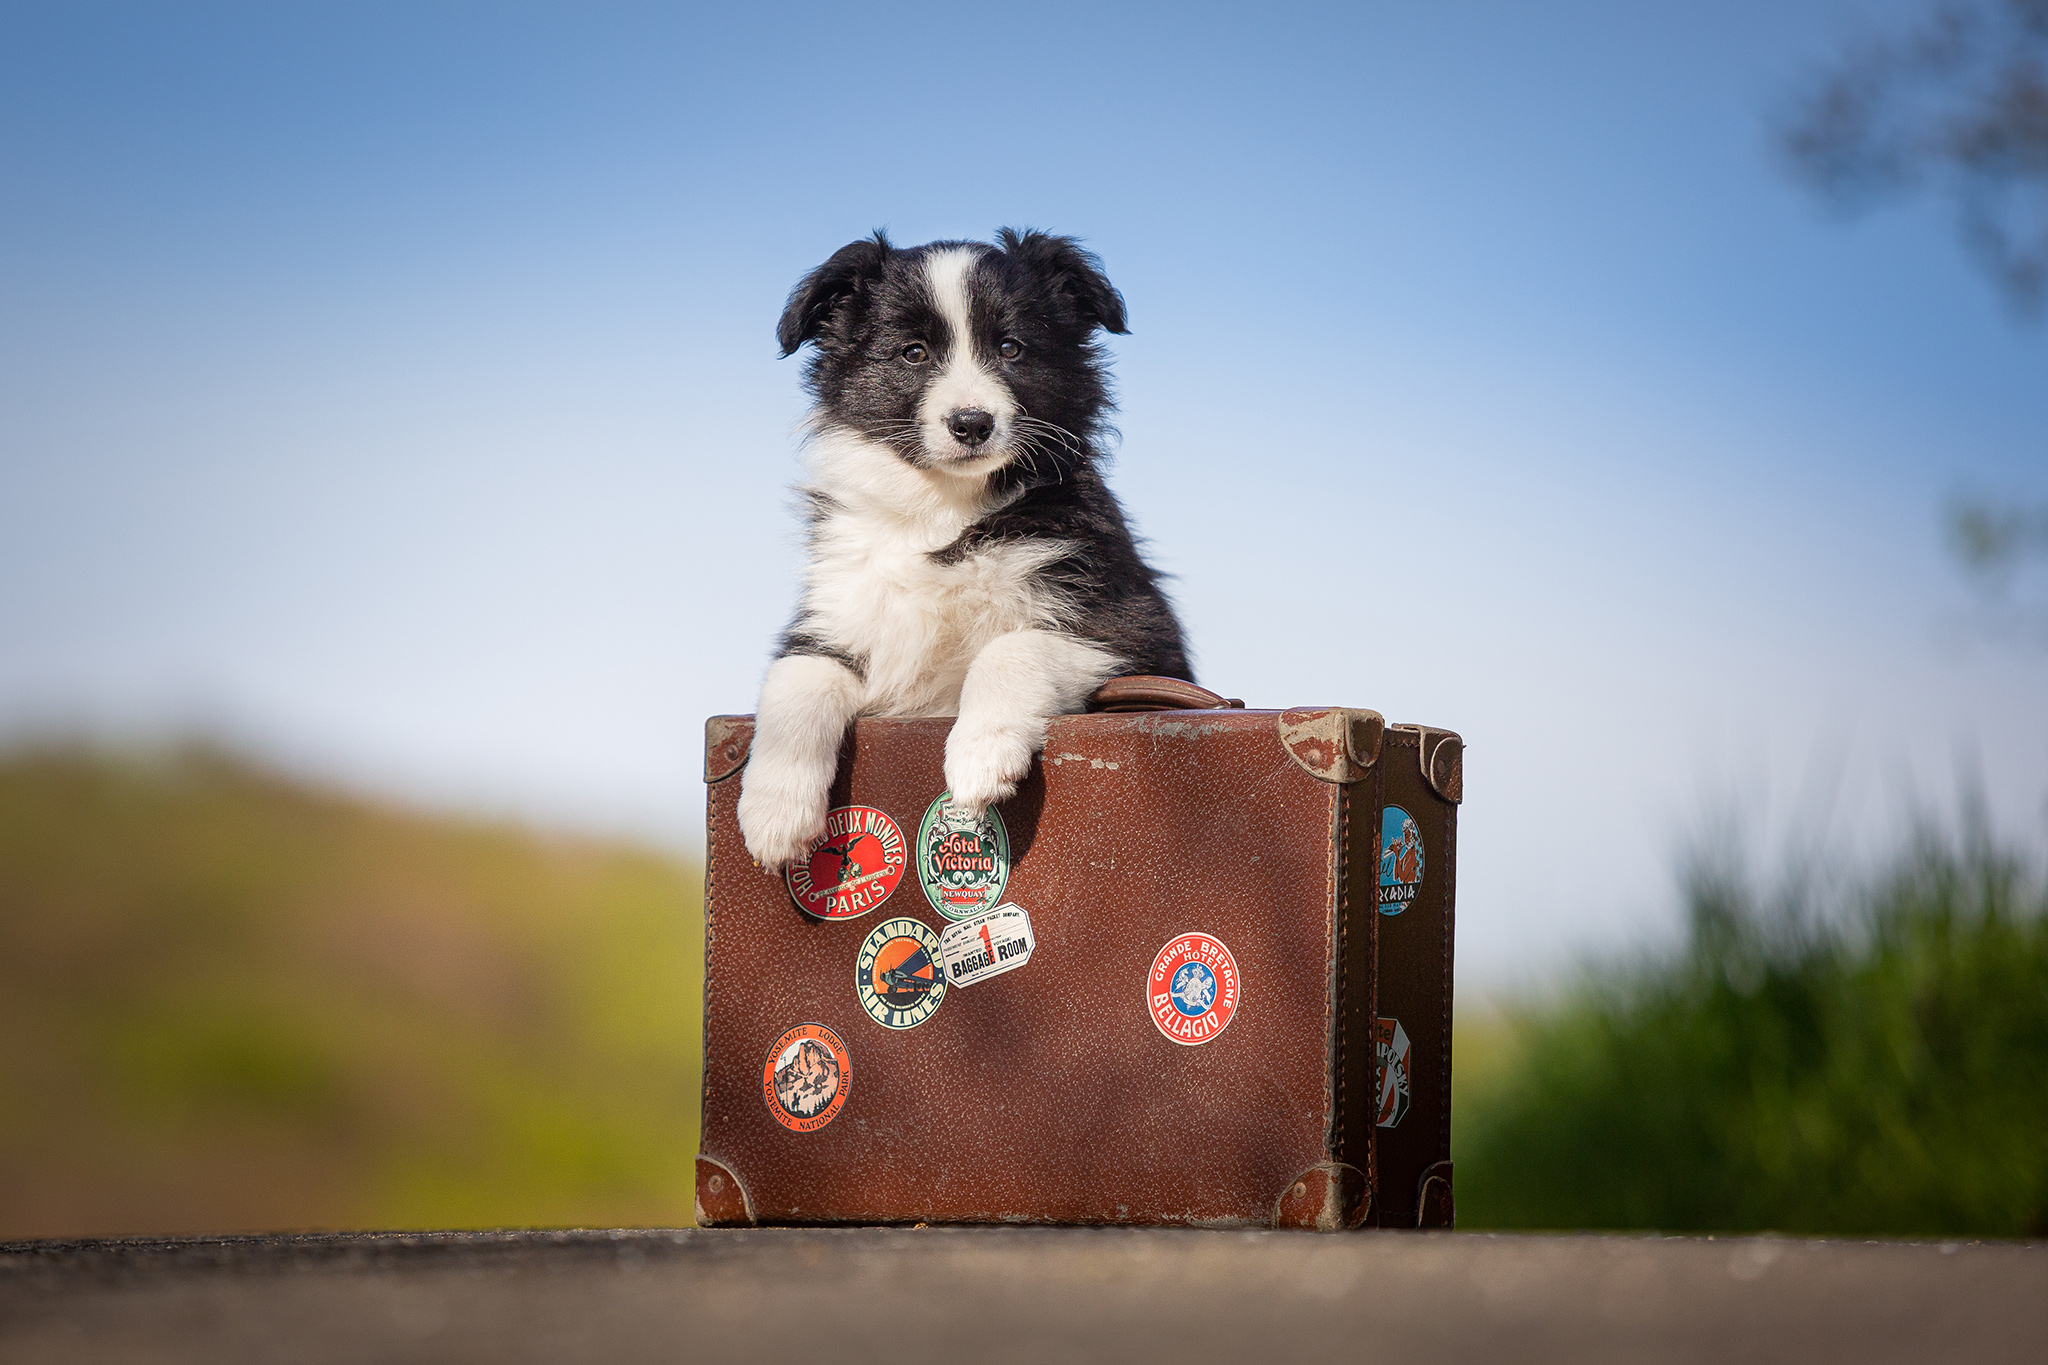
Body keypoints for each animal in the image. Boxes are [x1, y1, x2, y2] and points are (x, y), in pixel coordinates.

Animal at [737, 223, 1196, 863]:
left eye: (1011, 349)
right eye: (914, 353)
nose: (972, 423)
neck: (945, 507)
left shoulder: (1132, 628)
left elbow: (1011, 646)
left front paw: (980, 754)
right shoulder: (839, 612)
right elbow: (796, 678)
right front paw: (773, 812)